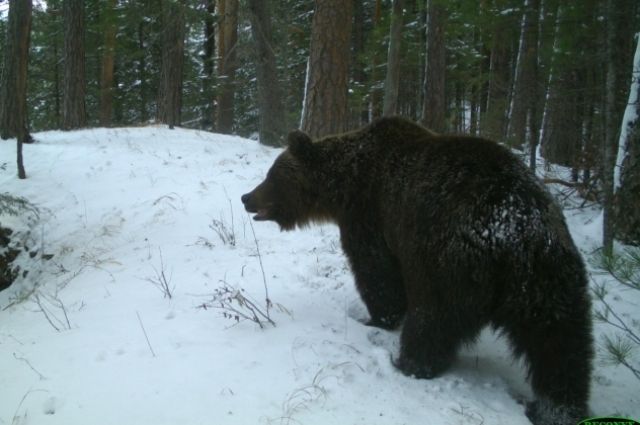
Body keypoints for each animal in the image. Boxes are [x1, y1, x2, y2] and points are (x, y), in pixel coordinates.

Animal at [241, 116, 596, 424]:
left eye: (272, 175)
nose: (246, 197)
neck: (344, 184)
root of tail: (515, 233)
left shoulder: (370, 216)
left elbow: (377, 274)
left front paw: (375, 318)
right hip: (550, 280)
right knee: (561, 346)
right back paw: (557, 409)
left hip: (447, 261)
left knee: (432, 316)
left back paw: (410, 362)